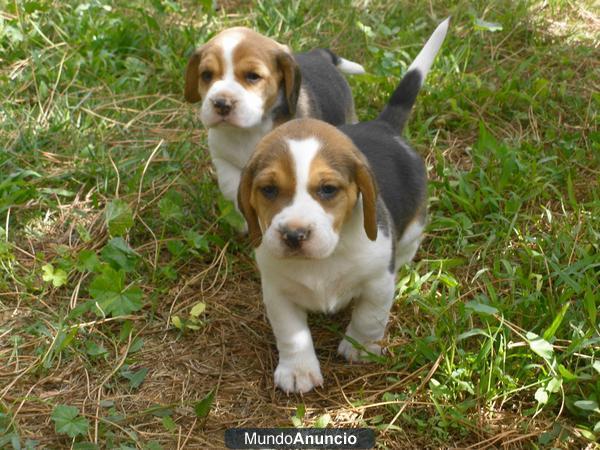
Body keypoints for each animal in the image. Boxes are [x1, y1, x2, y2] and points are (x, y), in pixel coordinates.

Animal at [183, 26, 364, 206]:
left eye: (253, 76)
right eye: (206, 75)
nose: (221, 103)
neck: (249, 131)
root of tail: (318, 54)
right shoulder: (224, 161)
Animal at [237, 17, 448, 392]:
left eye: (328, 189)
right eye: (269, 190)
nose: (294, 235)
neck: (325, 258)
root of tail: (383, 125)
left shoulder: (378, 281)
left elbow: (369, 316)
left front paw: (360, 348)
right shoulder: (277, 292)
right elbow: (292, 334)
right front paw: (298, 371)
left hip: (414, 228)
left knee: (408, 246)